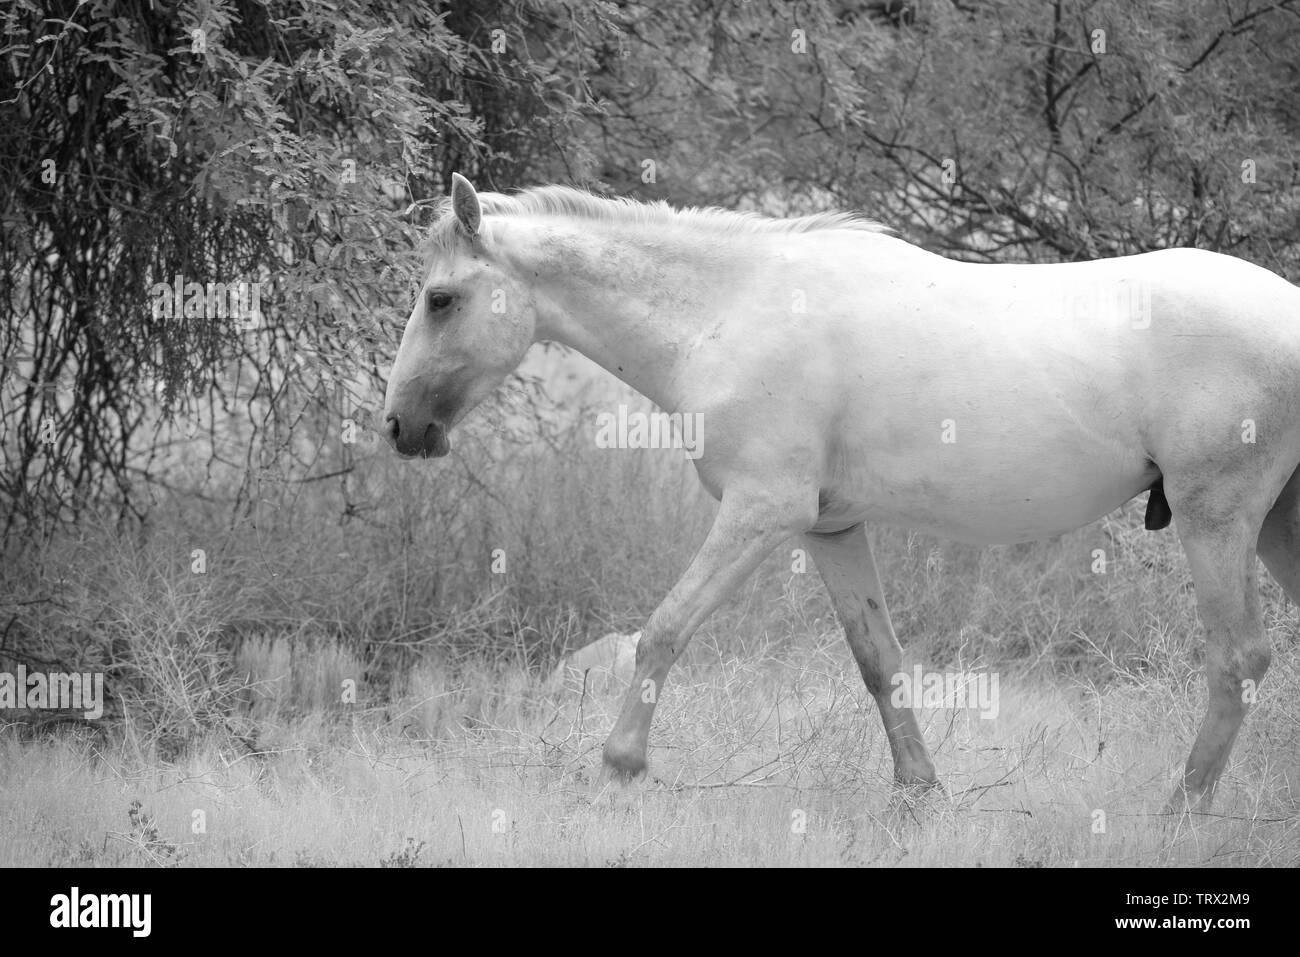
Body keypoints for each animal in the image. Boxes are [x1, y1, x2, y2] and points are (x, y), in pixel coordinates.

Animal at [384, 173, 1300, 810]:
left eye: (441, 298)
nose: (398, 426)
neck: (729, 309)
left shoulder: (760, 513)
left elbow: (663, 632)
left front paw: (617, 769)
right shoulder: (829, 531)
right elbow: (879, 662)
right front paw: (920, 793)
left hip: (1219, 522)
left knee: (1238, 660)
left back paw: (1180, 808)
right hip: (1276, 529)